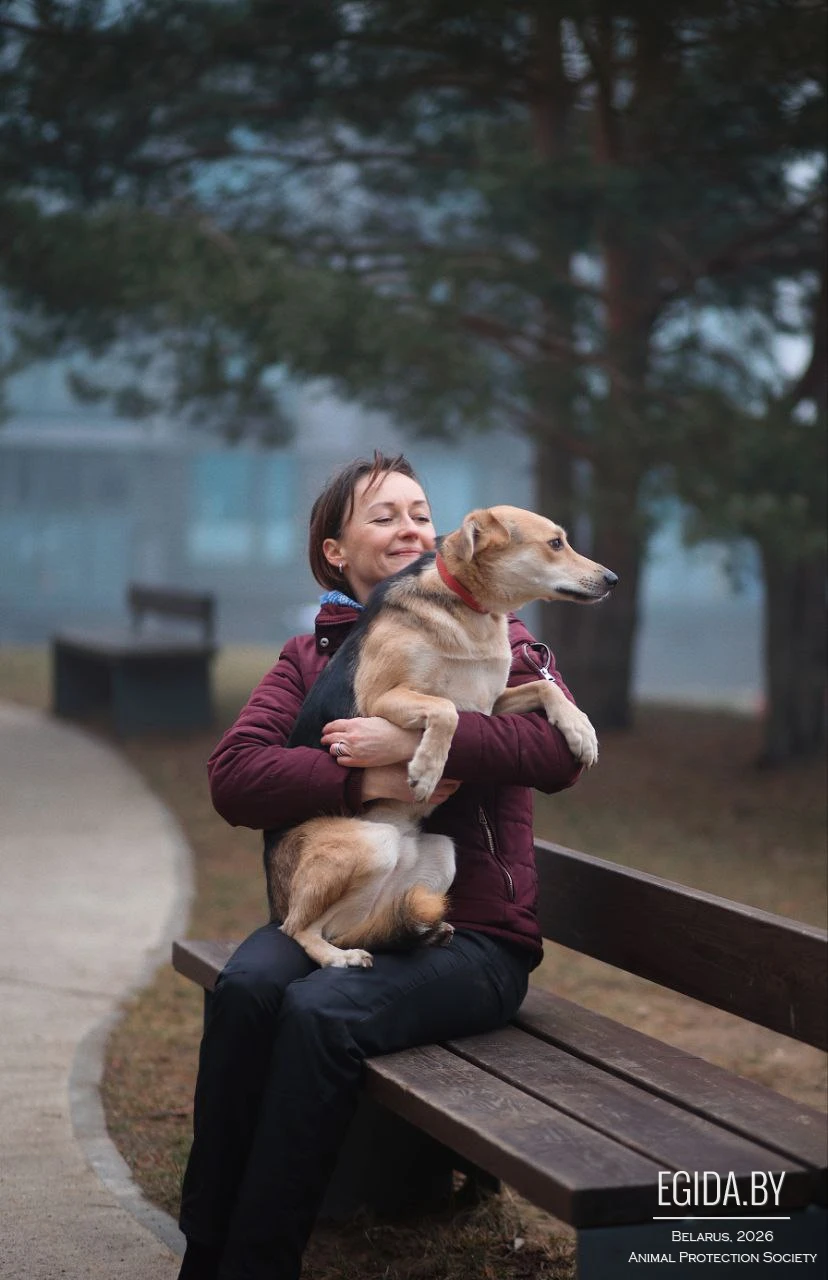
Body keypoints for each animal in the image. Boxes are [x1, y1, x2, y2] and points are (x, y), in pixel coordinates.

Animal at [265, 505, 617, 969]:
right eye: (556, 543)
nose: (612, 579)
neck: (471, 610)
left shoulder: (488, 707)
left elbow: (546, 688)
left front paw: (580, 730)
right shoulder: (384, 698)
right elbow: (444, 710)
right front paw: (427, 769)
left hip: (443, 855)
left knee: (355, 926)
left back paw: (417, 932)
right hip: (368, 845)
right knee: (298, 929)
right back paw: (339, 957)